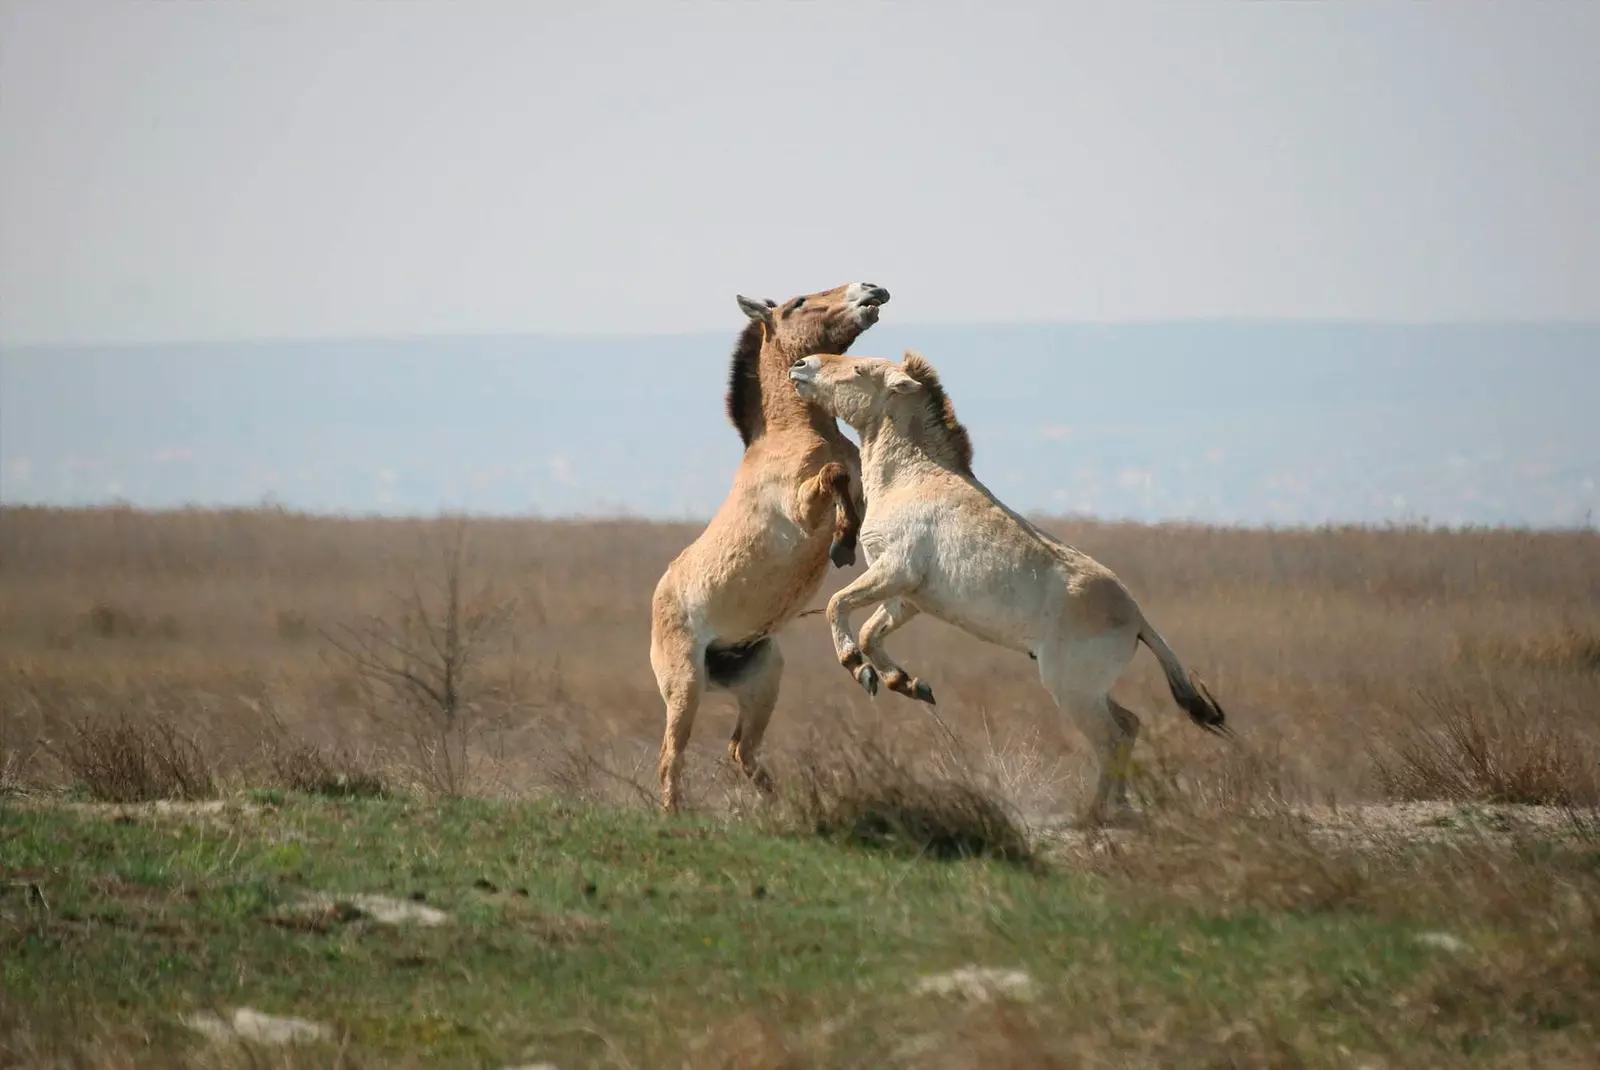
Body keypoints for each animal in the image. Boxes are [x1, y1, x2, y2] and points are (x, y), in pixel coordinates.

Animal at [793, 347, 1228, 825]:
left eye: (859, 368)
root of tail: (1137, 619)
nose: (802, 366)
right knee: (1129, 725)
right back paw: (1119, 808)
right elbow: (872, 631)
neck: (911, 480)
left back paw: (1093, 815)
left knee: (1111, 737)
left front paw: (859, 668)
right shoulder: (907, 597)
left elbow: (837, 606)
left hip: (1071, 690)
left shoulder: (895, 571)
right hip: (1089, 689)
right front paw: (906, 683)